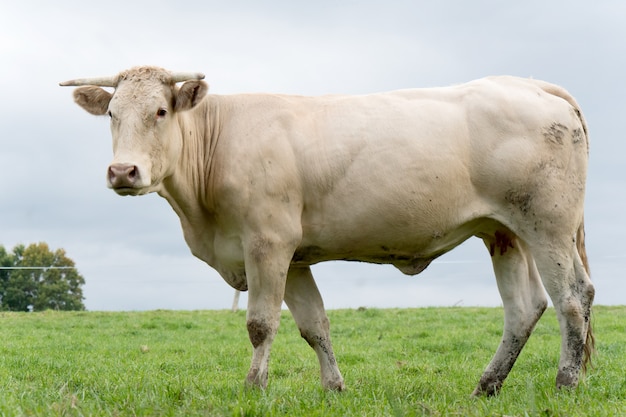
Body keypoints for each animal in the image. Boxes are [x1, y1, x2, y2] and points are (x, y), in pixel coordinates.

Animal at [61, 66, 592, 394]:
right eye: (112, 114)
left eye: (161, 111)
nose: (123, 171)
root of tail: (533, 85)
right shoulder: (293, 257)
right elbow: (314, 325)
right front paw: (333, 387)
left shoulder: (267, 243)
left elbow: (260, 323)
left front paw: (254, 387)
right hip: (504, 232)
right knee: (525, 307)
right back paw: (487, 385)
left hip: (548, 225)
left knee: (571, 297)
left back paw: (565, 383)